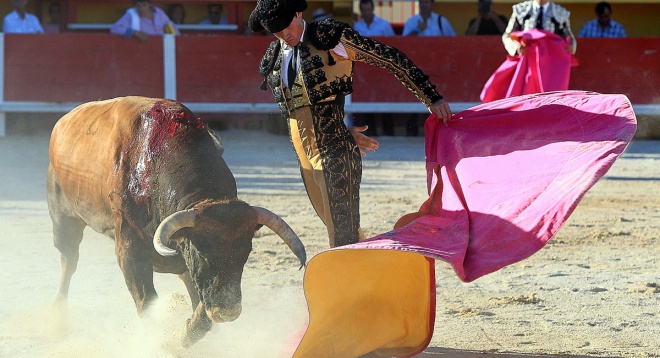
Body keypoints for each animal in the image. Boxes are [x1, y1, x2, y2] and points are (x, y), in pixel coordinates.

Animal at [46, 96, 306, 346]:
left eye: (246, 253)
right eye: (202, 253)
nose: (227, 312)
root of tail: (64, 121)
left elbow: (201, 307)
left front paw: (185, 332)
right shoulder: (130, 251)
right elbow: (146, 301)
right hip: (63, 220)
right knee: (68, 261)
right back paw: (57, 318)